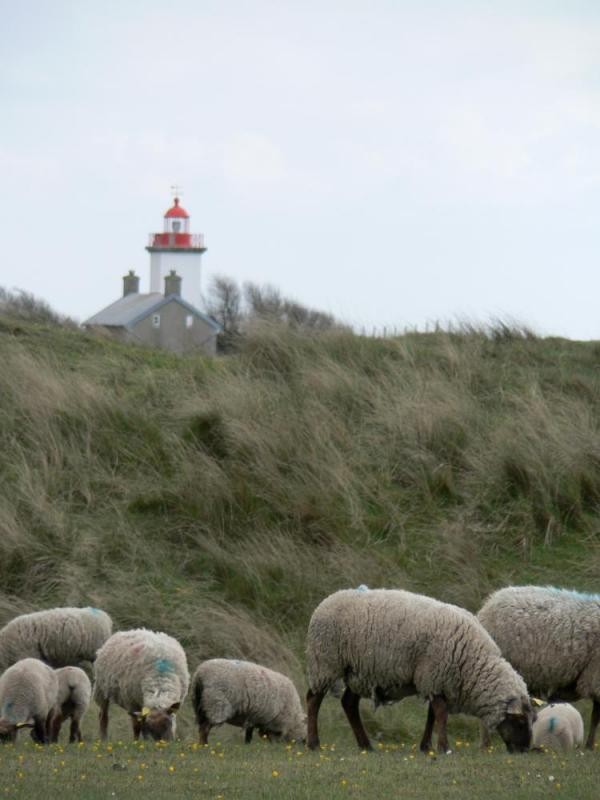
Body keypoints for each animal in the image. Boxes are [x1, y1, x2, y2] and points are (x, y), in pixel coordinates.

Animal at [308, 584, 532, 752]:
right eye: (521, 721)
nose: (525, 750)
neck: (472, 662)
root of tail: (327, 600)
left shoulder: (435, 681)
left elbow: (432, 715)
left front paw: (426, 746)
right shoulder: (433, 675)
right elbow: (441, 714)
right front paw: (444, 747)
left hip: (358, 672)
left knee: (349, 703)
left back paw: (366, 745)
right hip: (325, 663)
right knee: (313, 699)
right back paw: (314, 743)